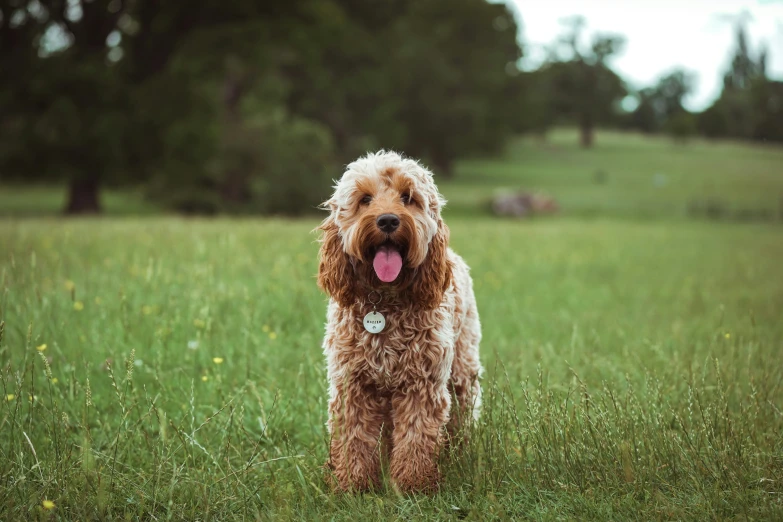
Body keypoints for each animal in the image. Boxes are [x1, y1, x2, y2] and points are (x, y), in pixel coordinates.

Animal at [318, 150, 484, 492]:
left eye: (408, 198)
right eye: (365, 199)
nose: (388, 220)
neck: (384, 301)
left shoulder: (422, 383)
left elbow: (417, 437)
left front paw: (412, 486)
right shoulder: (353, 384)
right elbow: (353, 437)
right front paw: (353, 485)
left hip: (462, 370)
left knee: (463, 412)